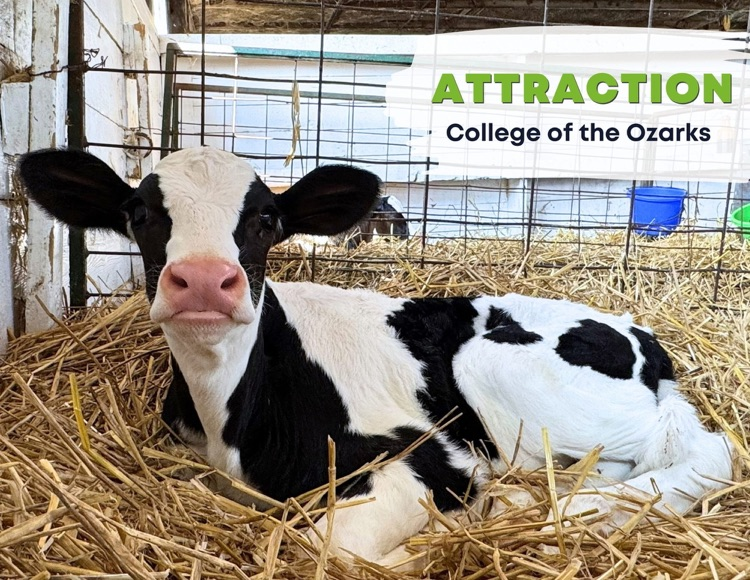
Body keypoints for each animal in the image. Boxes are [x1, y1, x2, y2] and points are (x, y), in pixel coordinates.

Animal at [18, 146, 734, 568]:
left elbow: (329, 547)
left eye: (266, 220)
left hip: (493, 366)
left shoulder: (421, 455)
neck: (231, 416)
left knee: (707, 451)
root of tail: (641, 333)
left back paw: (558, 508)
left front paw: (448, 535)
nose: (200, 279)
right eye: (139, 213)